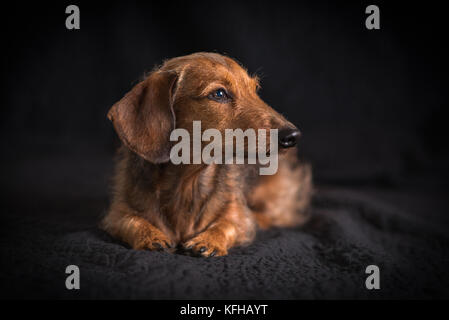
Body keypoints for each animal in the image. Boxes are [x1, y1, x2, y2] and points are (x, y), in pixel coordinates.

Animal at [101, 53, 312, 258]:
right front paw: (150, 236)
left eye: (255, 90)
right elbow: (131, 221)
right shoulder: (117, 214)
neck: (188, 183)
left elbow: (228, 224)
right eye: (219, 94)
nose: (293, 136)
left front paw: (210, 240)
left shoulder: (237, 216)